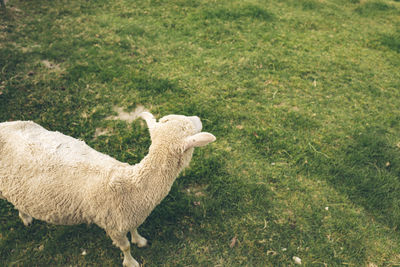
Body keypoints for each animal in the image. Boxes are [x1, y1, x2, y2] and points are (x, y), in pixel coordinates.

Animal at [0, 111, 216, 267]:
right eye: (189, 129)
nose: (198, 118)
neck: (133, 186)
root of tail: (4, 125)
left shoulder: (129, 215)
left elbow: (134, 228)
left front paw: (140, 240)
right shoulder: (112, 225)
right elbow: (125, 246)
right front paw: (131, 262)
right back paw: (26, 217)